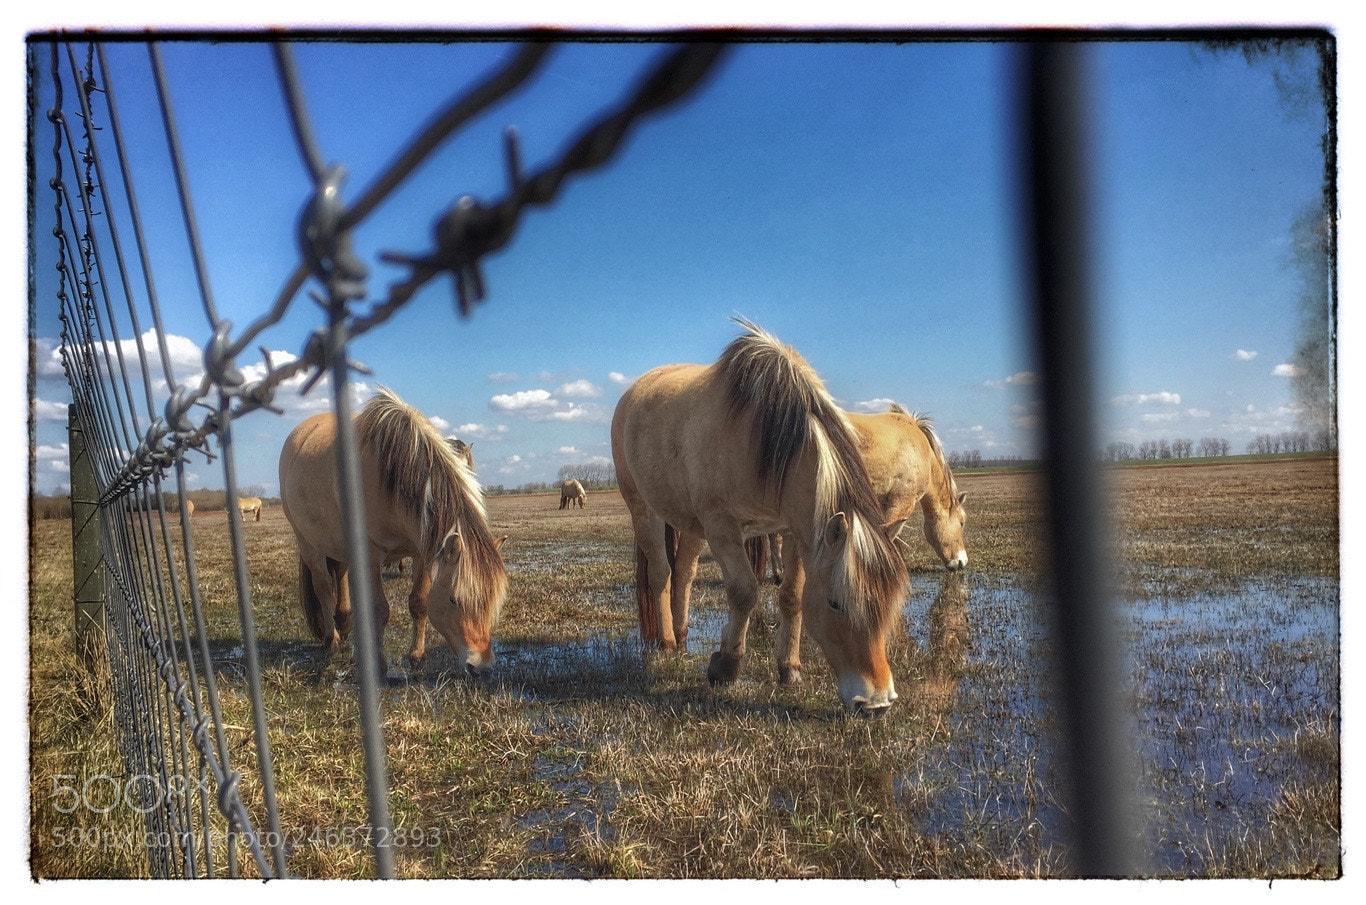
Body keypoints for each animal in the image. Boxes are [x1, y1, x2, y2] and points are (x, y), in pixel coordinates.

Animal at [279, 388, 508, 676]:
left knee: (339, 576)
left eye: (492, 601)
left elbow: (419, 602)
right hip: (309, 544)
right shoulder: (370, 555)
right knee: (322, 587)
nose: (481, 666)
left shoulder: (422, 552)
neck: (391, 476)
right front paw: (379, 666)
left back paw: (343, 623)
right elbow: (379, 610)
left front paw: (417, 655)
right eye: (454, 600)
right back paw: (332, 640)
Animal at [612, 319, 909, 713]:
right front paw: (725, 666)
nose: (876, 702)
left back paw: (682, 634)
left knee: (685, 573)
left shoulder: (795, 531)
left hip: (689, 524)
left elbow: (792, 596)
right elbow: (743, 592)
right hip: (643, 509)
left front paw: (789, 669)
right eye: (835, 602)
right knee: (661, 573)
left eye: (890, 601)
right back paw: (666, 643)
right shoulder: (722, 528)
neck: (762, 437)